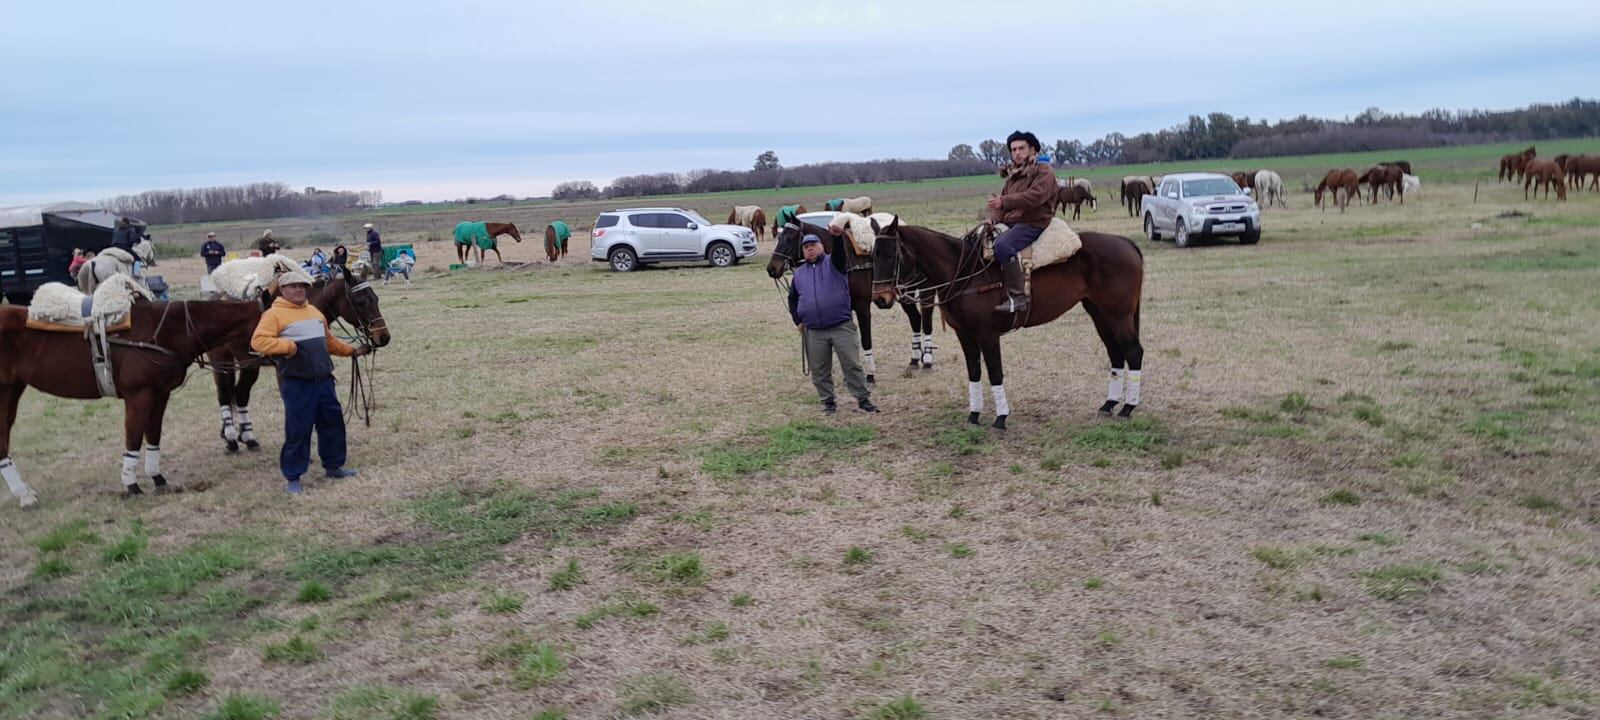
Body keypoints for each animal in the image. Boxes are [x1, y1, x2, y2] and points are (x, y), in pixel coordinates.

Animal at [0, 296, 262, 502]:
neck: (163, 330)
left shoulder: (160, 393)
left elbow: (153, 433)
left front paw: (157, 477)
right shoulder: (139, 395)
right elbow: (134, 437)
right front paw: (131, 483)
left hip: (13, 389)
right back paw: (24, 494)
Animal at [764, 217, 934, 382]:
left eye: (790, 238)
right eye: (779, 237)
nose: (771, 268)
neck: (845, 262)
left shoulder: (862, 307)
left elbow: (865, 339)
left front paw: (870, 374)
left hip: (923, 292)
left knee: (925, 320)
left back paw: (927, 360)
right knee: (915, 319)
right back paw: (914, 360)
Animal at [870, 217, 1145, 428]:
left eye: (891, 254)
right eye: (873, 256)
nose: (880, 299)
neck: (965, 273)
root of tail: (1125, 243)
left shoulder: (987, 334)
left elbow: (995, 372)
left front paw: (1001, 417)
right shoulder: (965, 334)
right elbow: (974, 372)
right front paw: (974, 414)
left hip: (1118, 315)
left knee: (1133, 351)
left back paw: (1128, 407)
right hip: (1099, 314)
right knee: (1116, 352)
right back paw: (1109, 404)